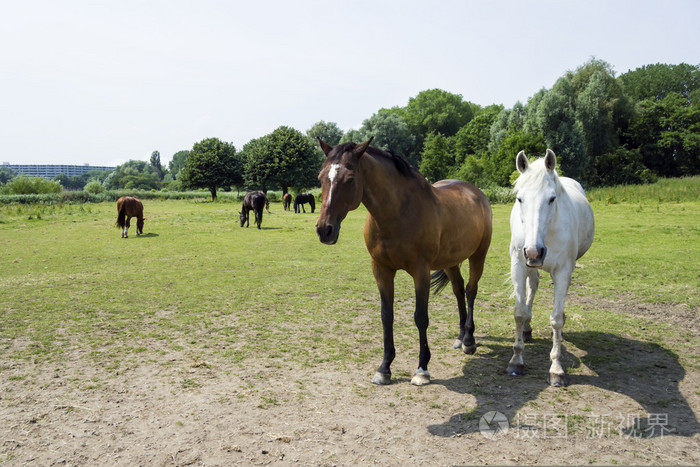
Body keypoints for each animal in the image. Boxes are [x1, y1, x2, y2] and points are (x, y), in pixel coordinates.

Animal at [316, 137, 492, 386]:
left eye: (350, 179)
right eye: (321, 178)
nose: (325, 230)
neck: (398, 214)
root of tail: (475, 192)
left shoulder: (421, 272)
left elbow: (421, 317)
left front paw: (422, 369)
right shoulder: (381, 270)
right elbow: (386, 316)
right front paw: (384, 368)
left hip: (478, 255)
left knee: (470, 290)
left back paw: (469, 340)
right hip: (450, 262)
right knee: (458, 290)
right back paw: (459, 337)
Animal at [506, 150, 592, 388]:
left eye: (552, 199)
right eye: (520, 199)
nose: (534, 252)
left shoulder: (563, 271)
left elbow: (556, 319)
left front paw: (556, 370)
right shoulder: (519, 264)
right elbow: (519, 312)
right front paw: (516, 361)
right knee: (533, 286)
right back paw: (527, 329)